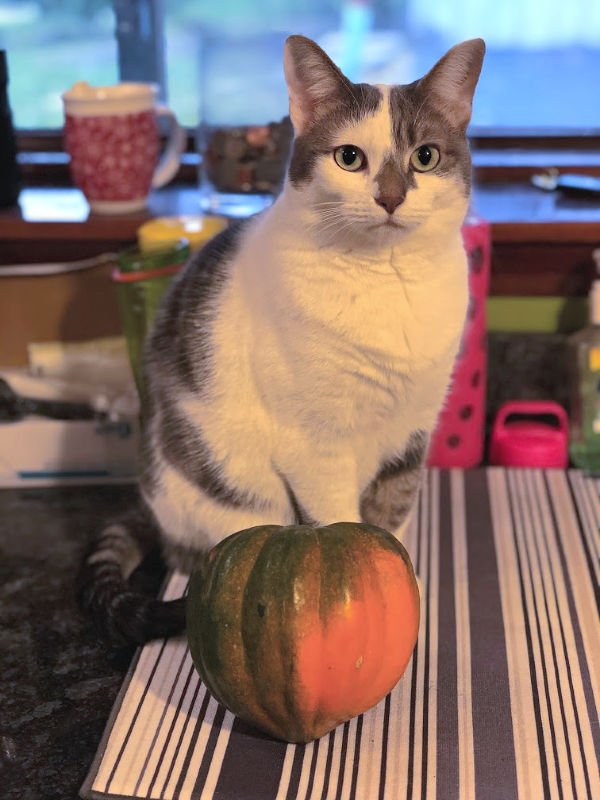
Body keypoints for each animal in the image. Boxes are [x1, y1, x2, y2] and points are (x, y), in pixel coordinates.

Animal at [79, 34, 486, 648]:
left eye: (426, 157)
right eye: (349, 157)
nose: (390, 197)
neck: (386, 280)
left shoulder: (411, 432)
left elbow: (393, 516)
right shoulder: (314, 447)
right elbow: (346, 524)